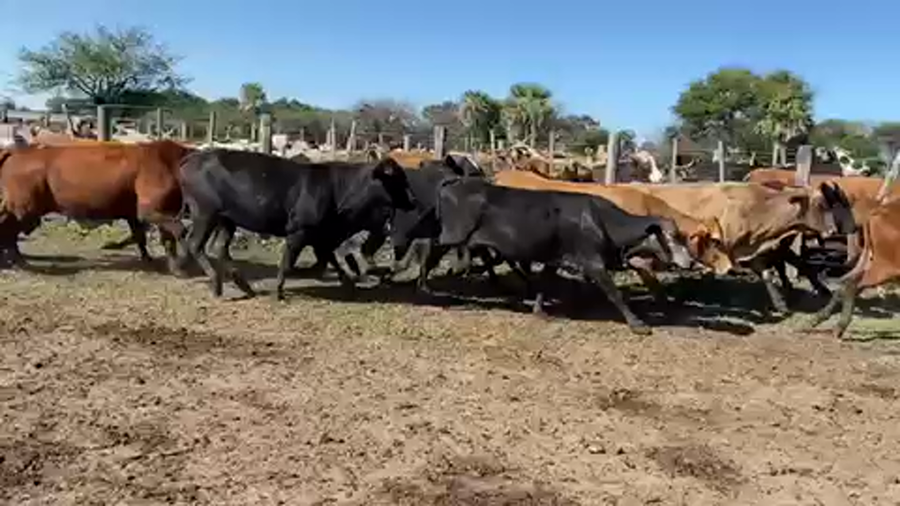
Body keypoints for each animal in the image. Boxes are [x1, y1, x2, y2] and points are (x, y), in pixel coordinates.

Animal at [0, 140, 193, 272]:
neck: (169, 162)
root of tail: (16, 153)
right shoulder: (151, 211)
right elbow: (178, 232)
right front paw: (181, 265)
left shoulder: (144, 213)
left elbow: (145, 237)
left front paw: (153, 261)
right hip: (25, 209)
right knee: (8, 228)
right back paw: (17, 261)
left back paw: (16, 260)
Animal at [177, 149, 417, 300]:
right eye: (397, 178)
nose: (414, 200)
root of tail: (193, 156)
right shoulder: (300, 232)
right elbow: (289, 263)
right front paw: (279, 290)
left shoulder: (322, 236)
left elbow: (327, 261)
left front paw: (348, 284)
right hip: (205, 213)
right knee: (196, 244)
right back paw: (216, 283)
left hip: (226, 219)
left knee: (219, 247)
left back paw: (241, 284)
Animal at [421, 177, 695, 334]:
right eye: (673, 237)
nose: (691, 261)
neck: (600, 220)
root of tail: (456, 183)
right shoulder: (593, 263)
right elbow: (614, 293)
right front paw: (637, 324)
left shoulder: (556, 260)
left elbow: (545, 284)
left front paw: (539, 310)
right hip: (451, 236)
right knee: (429, 248)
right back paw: (424, 284)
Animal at [623, 182, 856, 312]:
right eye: (823, 204)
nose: (836, 230)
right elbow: (710, 274)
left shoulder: (747, 251)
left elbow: (767, 274)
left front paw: (781, 304)